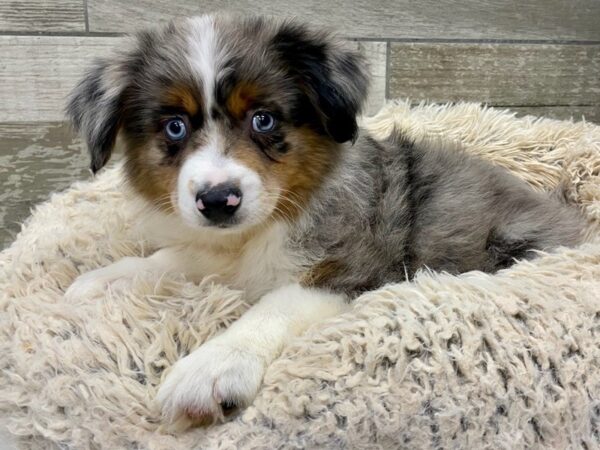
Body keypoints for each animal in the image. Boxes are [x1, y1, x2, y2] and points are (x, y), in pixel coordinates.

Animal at [64, 14, 580, 428]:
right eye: (175, 126)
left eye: (264, 119)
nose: (217, 201)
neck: (264, 227)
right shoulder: (220, 249)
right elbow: (173, 257)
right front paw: (101, 280)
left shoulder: (361, 268)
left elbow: (277, 304)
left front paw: (212, 367)